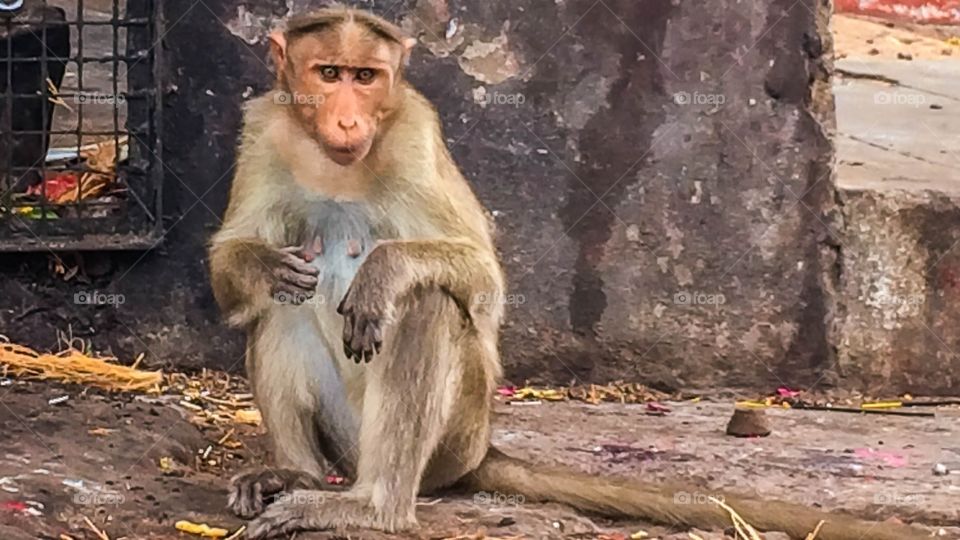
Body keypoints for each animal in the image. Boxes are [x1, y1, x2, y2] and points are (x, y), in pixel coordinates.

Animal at [207, 7, 929, 540]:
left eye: (367, 76)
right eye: (328, 73)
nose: (349, 116)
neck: (339, 161)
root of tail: (483, 450)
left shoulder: (413, 130)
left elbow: (484, 282)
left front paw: (384, 274)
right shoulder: (265, 128)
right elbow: (233, 264)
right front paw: (265, 262)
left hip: (453, 440)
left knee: (429, 308)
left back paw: (372, 506)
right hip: (348, 442)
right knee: (278, 305)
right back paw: (296, 476)